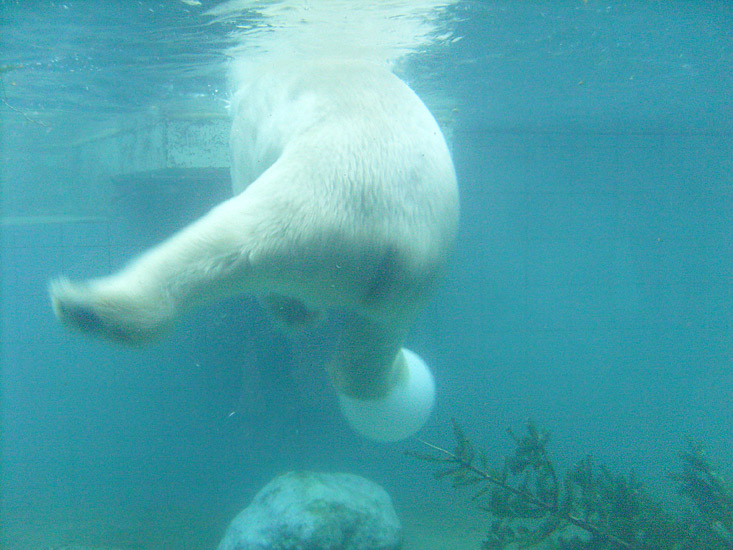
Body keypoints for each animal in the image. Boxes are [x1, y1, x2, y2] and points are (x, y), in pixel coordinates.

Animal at [47, 57, 458, 444]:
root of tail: (385, 238)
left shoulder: (247, 127)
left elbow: (239, 165)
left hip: (299, 208)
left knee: (222, 247)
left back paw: (88, 307)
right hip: (413, 280)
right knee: (372, 343)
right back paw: (385, 372)